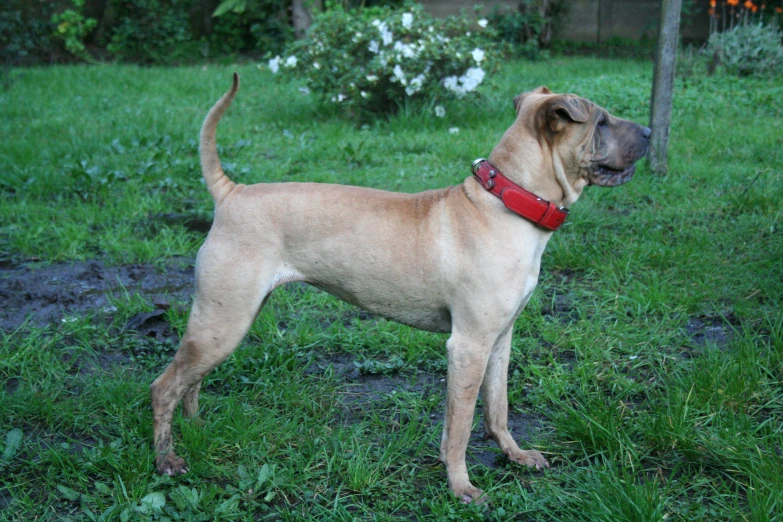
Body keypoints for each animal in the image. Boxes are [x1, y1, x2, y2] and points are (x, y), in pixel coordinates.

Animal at [152, 73, 648, 500]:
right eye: (602, 121)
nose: (647, 131)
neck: (507, 202)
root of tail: (230, 193)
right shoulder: (467, 346)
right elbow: (459, 426)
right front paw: (461, 486)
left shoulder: (500, 338)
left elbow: (498, 407)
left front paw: (514, 455)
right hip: (224, 321)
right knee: (164, 386)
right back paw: (167, 460)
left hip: (226, 320)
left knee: (190, 381)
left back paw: (197, 430)